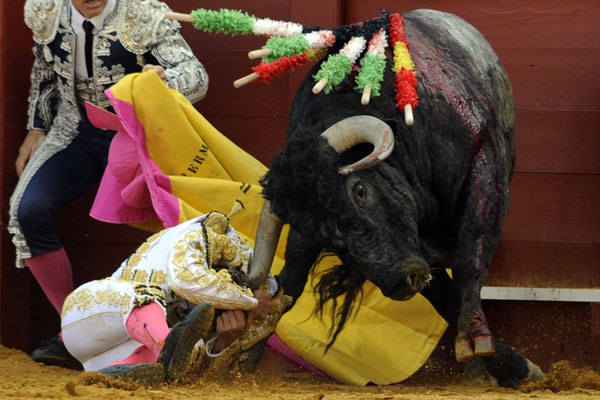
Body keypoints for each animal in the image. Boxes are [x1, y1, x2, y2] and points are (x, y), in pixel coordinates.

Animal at [241, 8, 540, 384]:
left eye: (360, 190)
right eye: (324, 237)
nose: (401, 281)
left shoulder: (484, 171)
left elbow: (469, 260)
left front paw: (478, 340)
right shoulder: (413, 248)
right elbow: (446, 297)